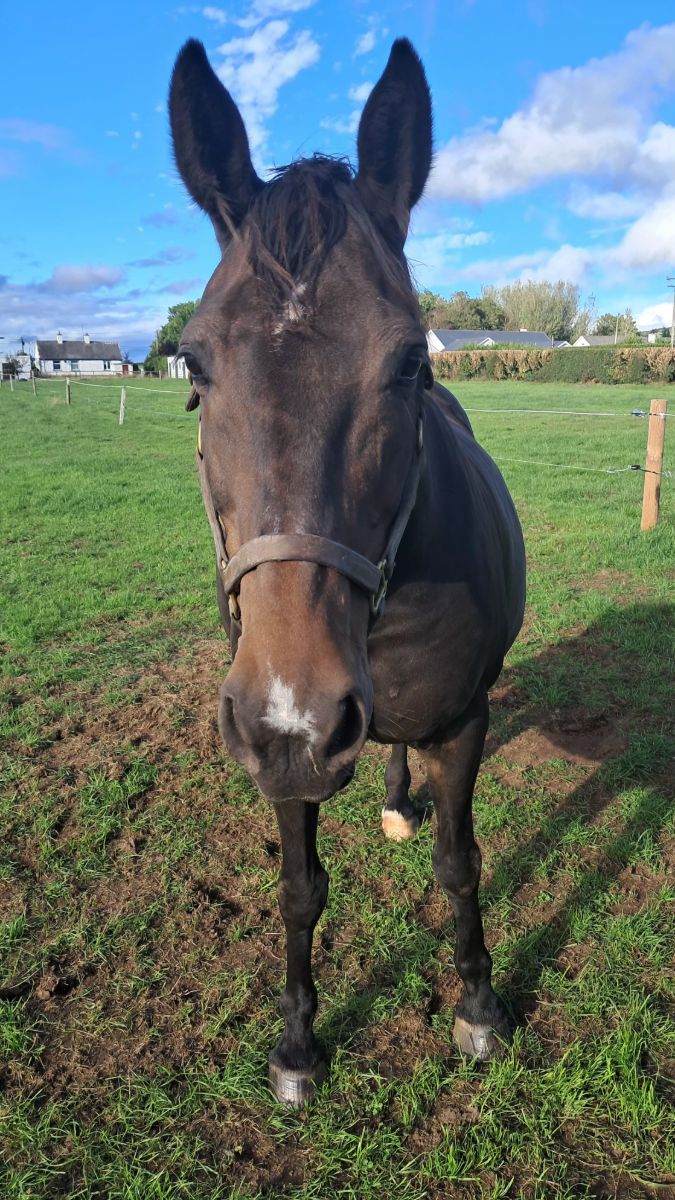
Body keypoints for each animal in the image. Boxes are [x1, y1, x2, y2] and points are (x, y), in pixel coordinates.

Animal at [168, 36, 526, 1105]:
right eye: (195, 365)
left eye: (407, 360)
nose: (300, 712)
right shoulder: (273, 749)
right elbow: (298, 889)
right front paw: (297, 1043)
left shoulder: (463, 722)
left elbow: (459, 865)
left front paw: (478, 1006)